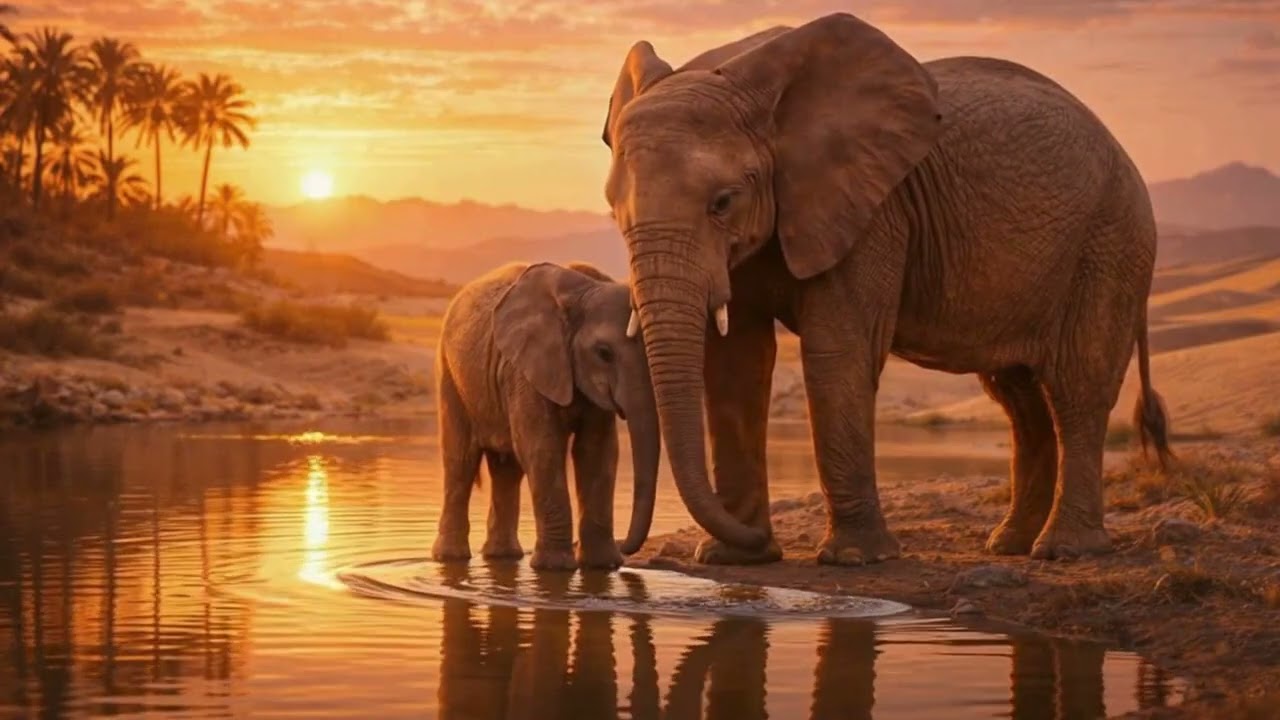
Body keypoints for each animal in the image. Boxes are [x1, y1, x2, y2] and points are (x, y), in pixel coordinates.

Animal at [431, 260, 660, 570]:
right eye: (604, 353)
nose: (625, 547)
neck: (583, 291)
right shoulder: (525, 370)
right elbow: (543, 447)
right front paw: (555, 569)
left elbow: (597, 452)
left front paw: (602, 566)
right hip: (450, 373)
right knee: (461, 460)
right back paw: (449, 559)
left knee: (507, 468)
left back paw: (502, 557)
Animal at [599, 12, 1173, 565]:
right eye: (613, 209)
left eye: (722, 202)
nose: (628, 549)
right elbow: (735, 362)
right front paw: (736, 558)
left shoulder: (872, 209)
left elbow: (838, 352)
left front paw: (854, 559)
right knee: (1019, 399)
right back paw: (1008, 544)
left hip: (1110, 239)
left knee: (1077, 388)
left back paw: (1065, 550)